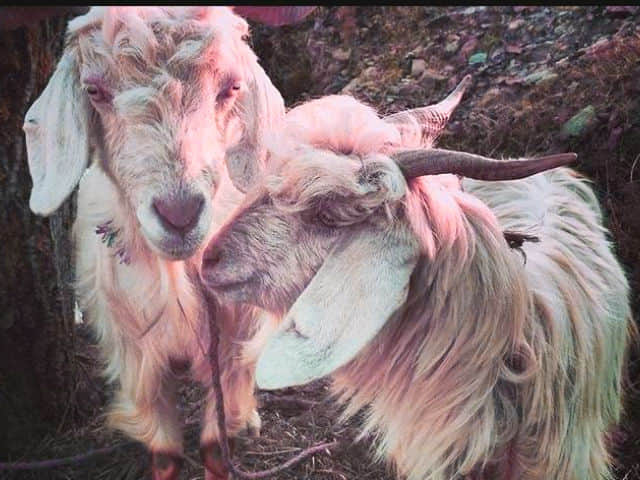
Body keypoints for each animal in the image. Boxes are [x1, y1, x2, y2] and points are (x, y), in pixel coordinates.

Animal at [22, 7, 287, 480]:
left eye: (231, 87)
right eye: (94, 90)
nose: (179, 214)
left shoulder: (228, 346)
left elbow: (215, 444)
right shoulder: (136, 358)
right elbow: (164, 452)